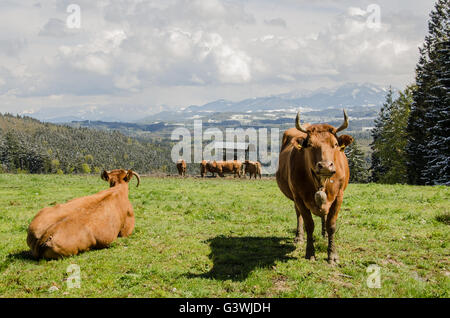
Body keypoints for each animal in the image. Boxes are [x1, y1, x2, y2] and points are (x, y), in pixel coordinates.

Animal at [276, 110, 354, 264]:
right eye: (310, 145)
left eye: (335, 144)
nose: (325, 166)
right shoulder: (299, 197)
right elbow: (309, 224)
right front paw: (310, 252)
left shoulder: (339, 196)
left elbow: (331, 224)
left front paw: (332, 255)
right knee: (298, 214)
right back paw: (299, 237)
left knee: (324, 216)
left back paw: (324, 234)